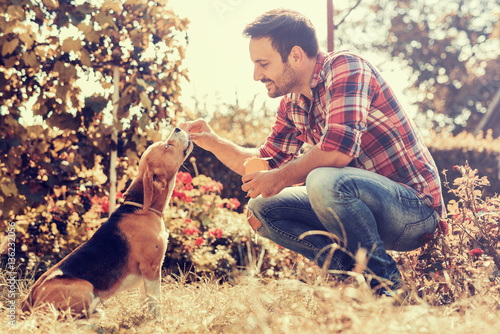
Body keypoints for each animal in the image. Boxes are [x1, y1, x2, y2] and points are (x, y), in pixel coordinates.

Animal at [19, 128, 192, 318]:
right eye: (167, 146)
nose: (177, 128)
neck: (142, 209)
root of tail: (29, 299)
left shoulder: (145, 275)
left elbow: (146, 300)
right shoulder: (151, 269)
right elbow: (156, 302)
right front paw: (157, 321)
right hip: (85, 287)